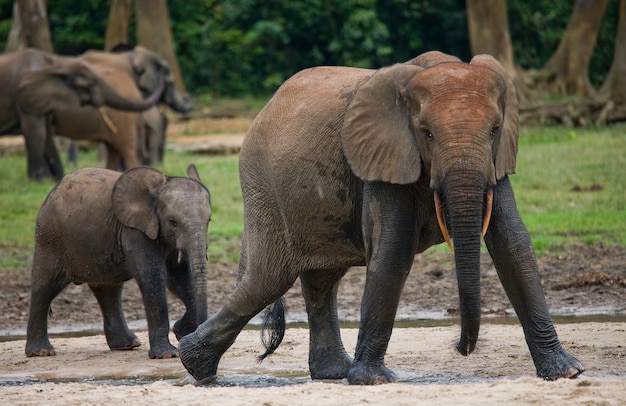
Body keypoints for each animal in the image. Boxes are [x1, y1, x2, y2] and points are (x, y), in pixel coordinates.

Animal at [0, 48, 161, 180]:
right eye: (89, 85)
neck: (54, 62)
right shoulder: (28, 98)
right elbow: (39, 133)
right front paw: (44, 180)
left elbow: (42, 132)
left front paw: (46, 179)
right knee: (118, 148)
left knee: (122, 147)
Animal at [26, 163, 212, 358]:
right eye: (172, 222)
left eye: (209, 220)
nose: (196, 337)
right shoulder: (134, 231)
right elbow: (154, 278)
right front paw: (167, 354)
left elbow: (181, 279)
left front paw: (181, 332)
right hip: (49, 237)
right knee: (45, 287)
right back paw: (41, 352)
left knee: (109, 290)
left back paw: (127, 344)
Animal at [178, 50, 584, 384]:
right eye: (426, 134)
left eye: (495, 130)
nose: (461, 348)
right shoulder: (384, 156)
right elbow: (394, 248)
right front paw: (372, 380)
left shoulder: (496, 162)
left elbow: (512, 242)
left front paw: (567, 372)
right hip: (264, 186)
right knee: (268, 278)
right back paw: (194, 364)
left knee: (320, 279)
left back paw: (331, 373)